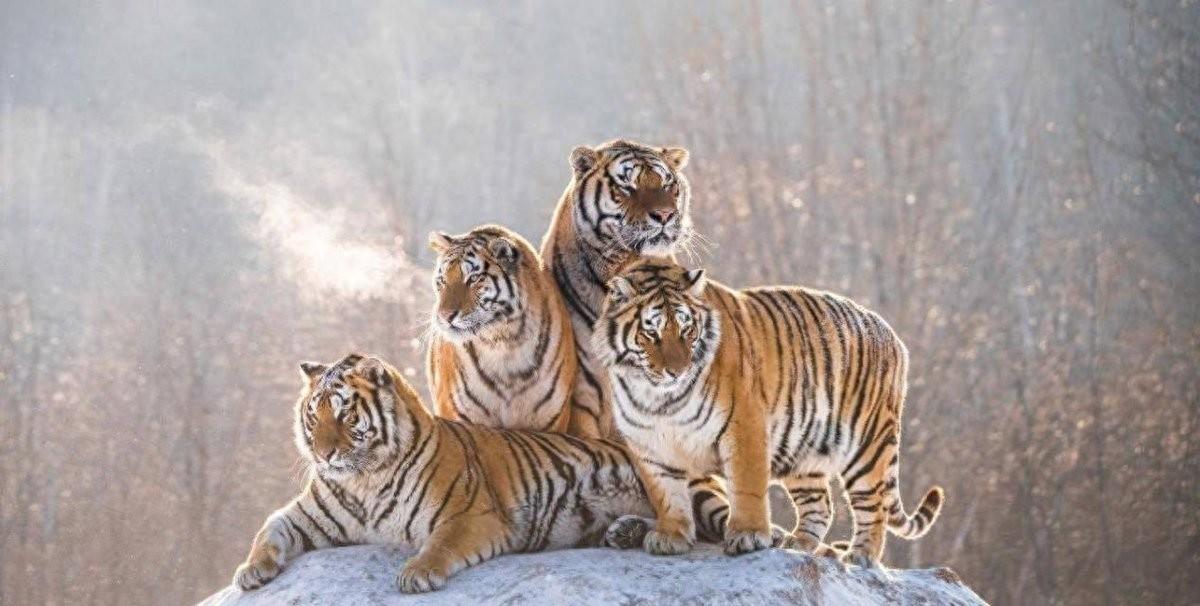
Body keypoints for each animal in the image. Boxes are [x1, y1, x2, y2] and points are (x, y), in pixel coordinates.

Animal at [232, 353, 660, 594]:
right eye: (313, 415)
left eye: (345, 414)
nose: (323, 455)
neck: (363, 480)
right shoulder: (304, 514)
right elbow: (267, 530)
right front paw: (251, 571)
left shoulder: (470, 514)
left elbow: (442, 544)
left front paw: (417, 573)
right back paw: (624, 532)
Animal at [591, 257, 945, 568]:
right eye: (651, 332)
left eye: (686, 330)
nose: (677, 371)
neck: (657, 399)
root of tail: (892, 334)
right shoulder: (648, 444)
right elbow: (666, 493)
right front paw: (671, 536)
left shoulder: (742, 425)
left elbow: (745, 487)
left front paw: (748, 536)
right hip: (804, 451)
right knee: (821, 506)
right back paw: (797, 543)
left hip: (867, 445)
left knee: (874, 506)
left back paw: (860, 555)